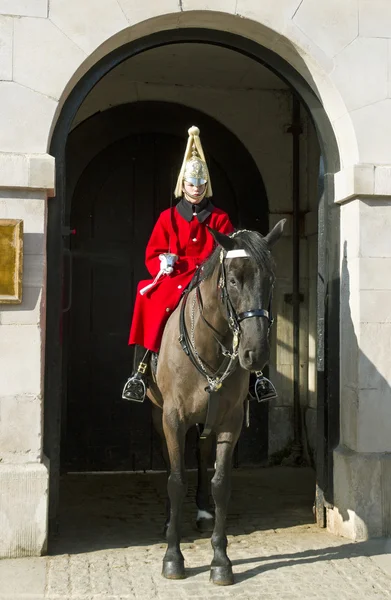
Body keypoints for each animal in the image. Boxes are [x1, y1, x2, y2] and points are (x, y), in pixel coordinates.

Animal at [147, 219, 284, 580]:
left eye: (270, 280)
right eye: (233, 279)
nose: (255, 354)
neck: (210, 341)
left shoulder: (229, 422)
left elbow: (221, 483)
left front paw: (221, 560)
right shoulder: (173, 418)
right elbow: (175, 479)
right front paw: (173, 555)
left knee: (202, 454)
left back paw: (203, 511)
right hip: (158, 416)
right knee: (169, 462)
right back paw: (168, 518)